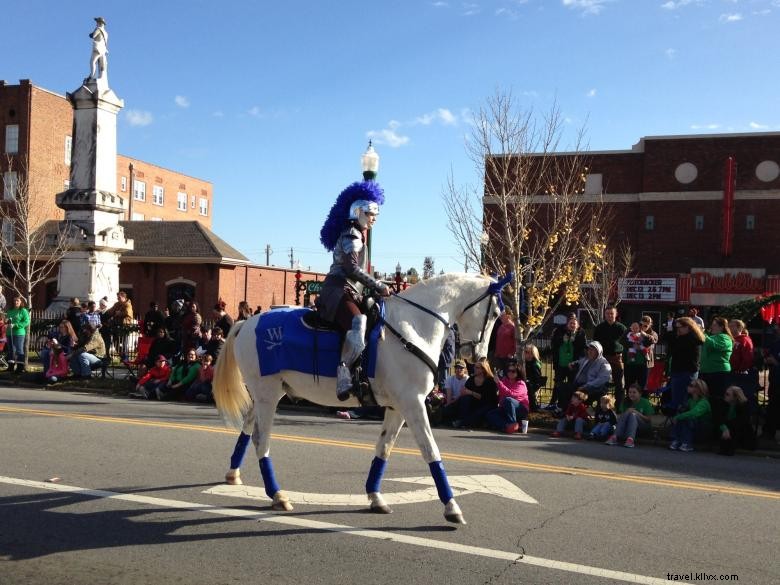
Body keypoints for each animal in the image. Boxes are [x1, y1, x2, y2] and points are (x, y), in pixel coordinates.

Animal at [212, 274, 512, 524]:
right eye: (496, 312)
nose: (478, 357)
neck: (413, 326)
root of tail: (247, 323)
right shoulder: (413, 403)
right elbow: (431, 451)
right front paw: (451, 507)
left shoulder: (398, 407)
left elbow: (384, 448)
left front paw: (375, 498)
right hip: (268, 394)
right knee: (260, 440)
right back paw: (277, 495)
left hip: (267, 393)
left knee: (248, 428)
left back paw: (233, 474)